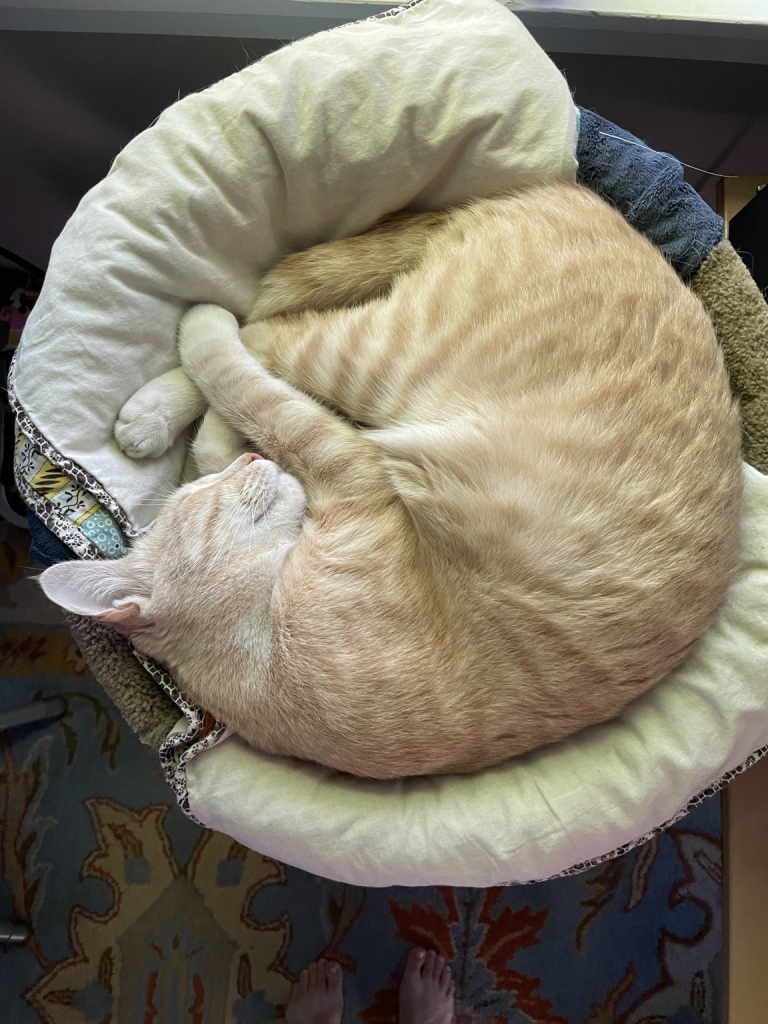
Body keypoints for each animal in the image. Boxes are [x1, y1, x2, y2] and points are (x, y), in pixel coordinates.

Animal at [41, 182, 745, 774]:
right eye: (202, 506)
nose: (251, 465)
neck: (254, 659)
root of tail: (575, 195)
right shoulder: (348, 464)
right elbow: (246, 388)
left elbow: (240, 411)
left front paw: (222, 444)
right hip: (367, 356)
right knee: (248, 333)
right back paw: (177, 377)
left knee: (255, 334)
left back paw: (154, 411)